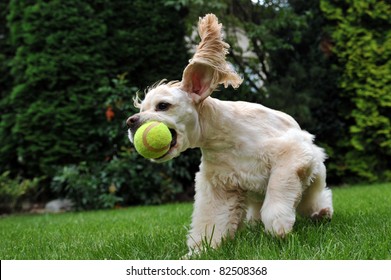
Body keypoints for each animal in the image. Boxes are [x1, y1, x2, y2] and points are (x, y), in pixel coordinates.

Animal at [128, 13, 334, 254]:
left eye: (162, 106)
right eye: (141, 109)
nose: (131, 121)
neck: (222, 138)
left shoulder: (292, 153)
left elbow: (278, 187)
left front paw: (279, 225)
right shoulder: (219, 186)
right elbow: (211, 220)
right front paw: (200, 251)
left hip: (313, 174)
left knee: (312, 198)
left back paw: (321, 213)